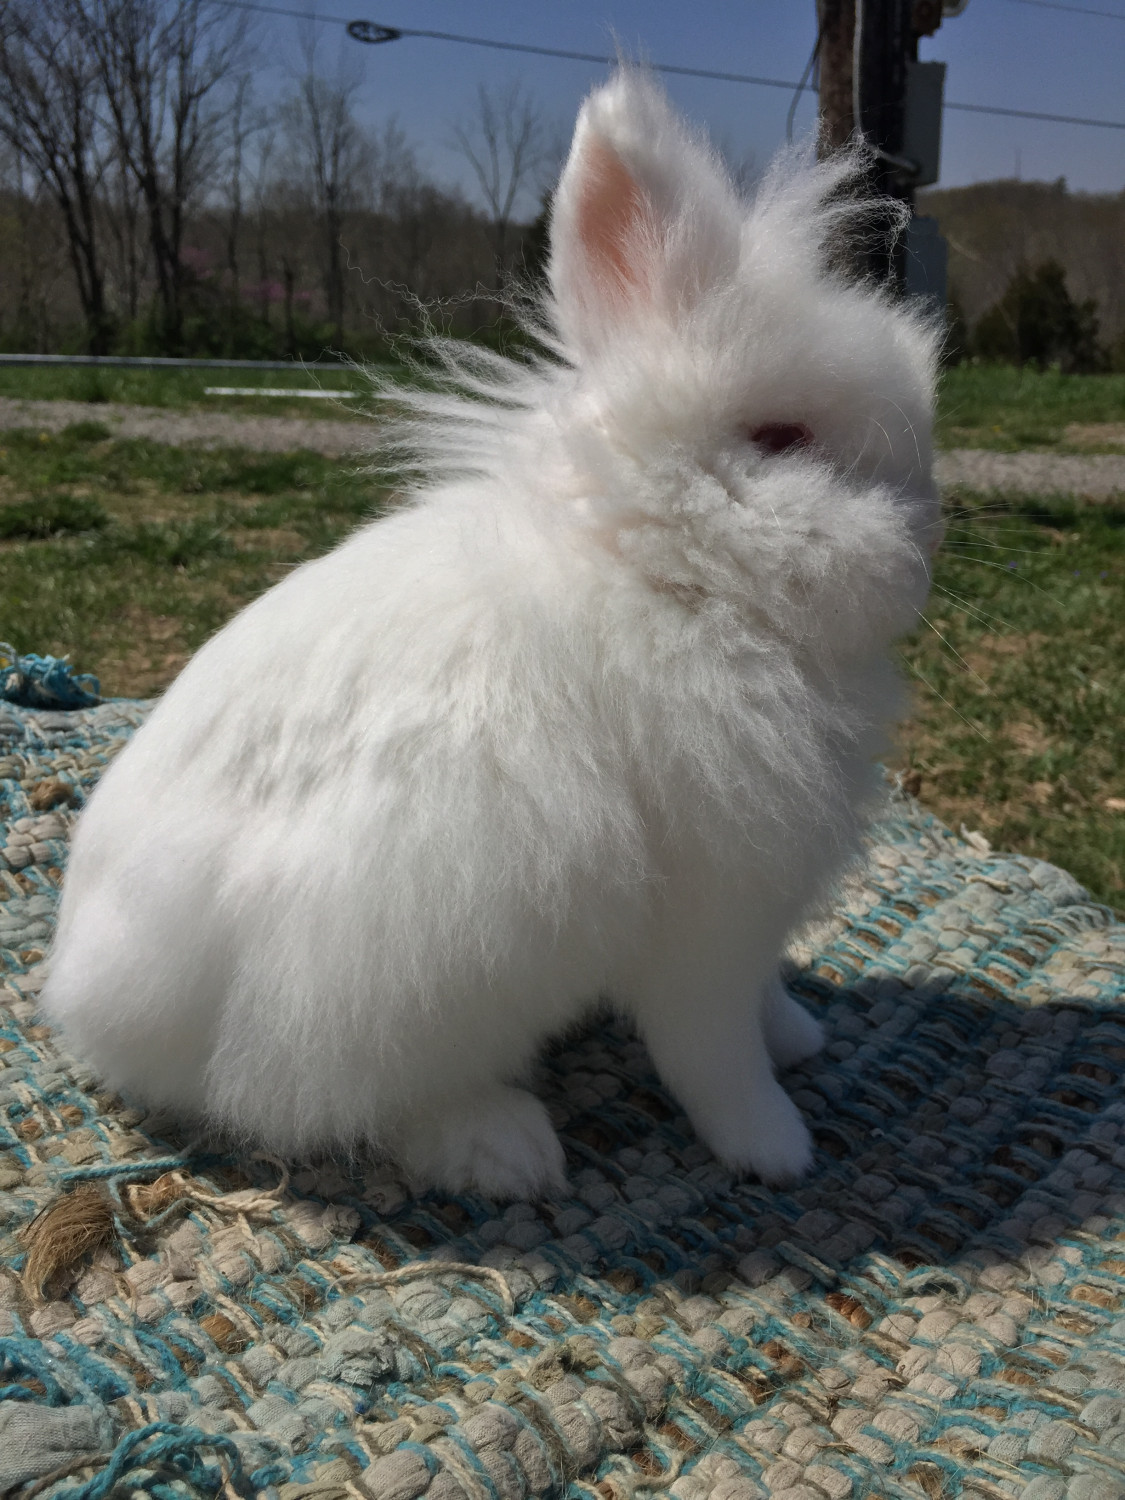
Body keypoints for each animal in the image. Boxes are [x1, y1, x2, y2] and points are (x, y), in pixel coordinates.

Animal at [41, 70, 940, 1201]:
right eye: (781, 439)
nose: (922, 549)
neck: (664, 570)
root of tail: (91, 1008)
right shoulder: (706, 925)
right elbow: (713, 1052)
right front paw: (775, 1147)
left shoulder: (751, 930)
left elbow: (763, 1009)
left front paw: (807, 1040)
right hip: (388, 972)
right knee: (346, 1101)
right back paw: (504, 1148)